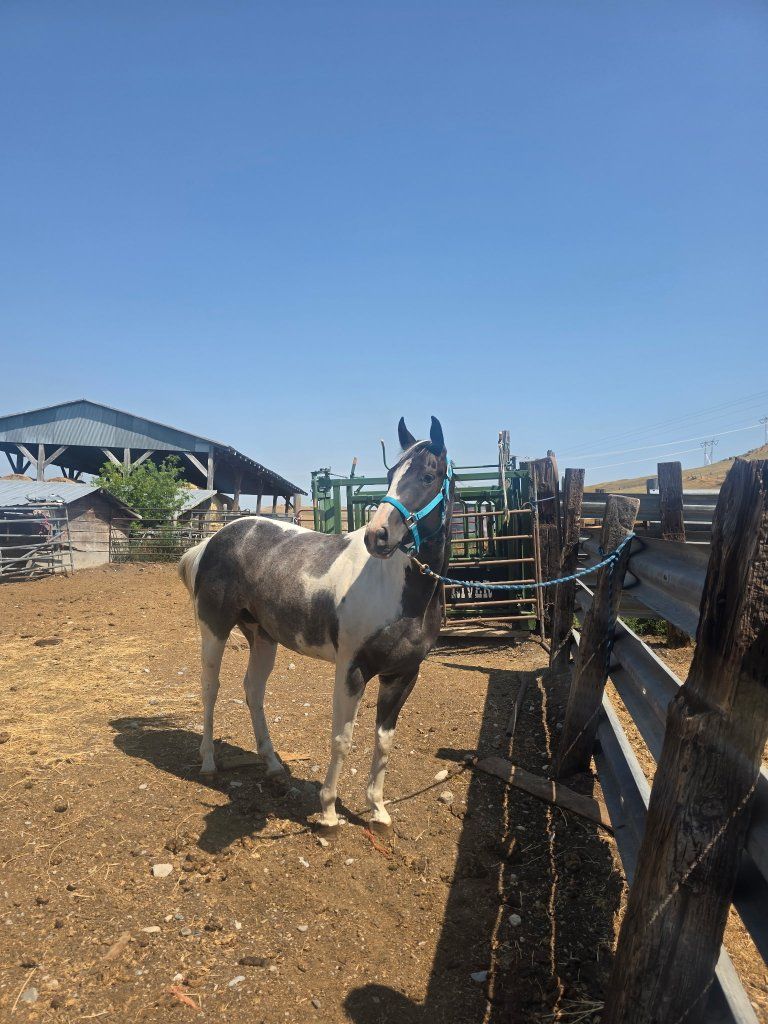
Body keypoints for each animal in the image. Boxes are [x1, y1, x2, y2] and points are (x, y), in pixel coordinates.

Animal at [178, 416, 454, 828]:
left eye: (428, 476)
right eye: (390, 475)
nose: (377, 535)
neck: (399, 590)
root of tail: (213, 539)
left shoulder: (402, 675)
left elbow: (384, 741)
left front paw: (377, 810)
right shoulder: (351, 670)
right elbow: (342, 738)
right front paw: (328, 812)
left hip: (262, 637)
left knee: (253, 691)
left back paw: (273, 766)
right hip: (214, 630)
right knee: (210, 688)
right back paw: (208, 761)